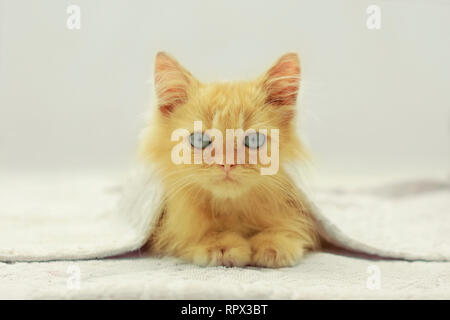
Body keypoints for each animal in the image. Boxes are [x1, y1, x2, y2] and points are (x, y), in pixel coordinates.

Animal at [141, 52, 320, 268]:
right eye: (200, 140)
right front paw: (222, 246)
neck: (232, 209)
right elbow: (198, 235)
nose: (227, 163)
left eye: (253, 140)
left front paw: (275, 243)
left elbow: (287, 226)